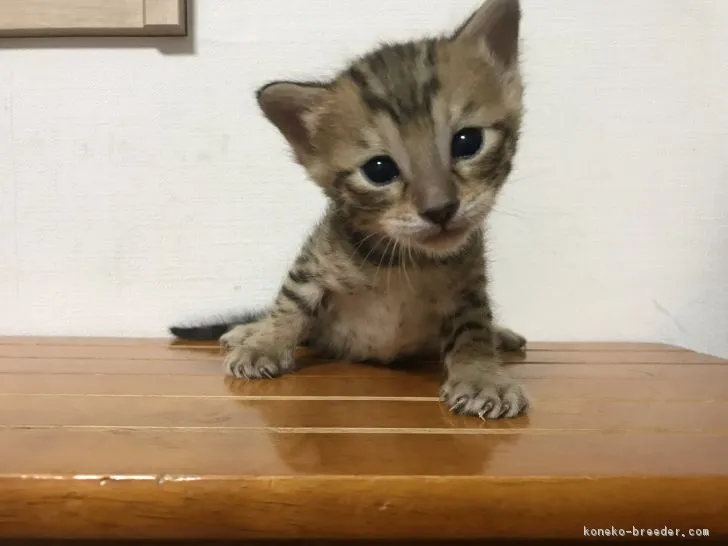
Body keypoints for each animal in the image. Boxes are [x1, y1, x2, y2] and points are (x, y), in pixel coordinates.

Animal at [173, 0, 532, 418]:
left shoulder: (469, 282)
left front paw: (482, 376)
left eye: (467, 142)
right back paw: (249, 330)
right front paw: (265, 343)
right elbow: (289, 302)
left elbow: (474, 327)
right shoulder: (315, 258)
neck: (405, 261)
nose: (440, 209)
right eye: (379, 170)